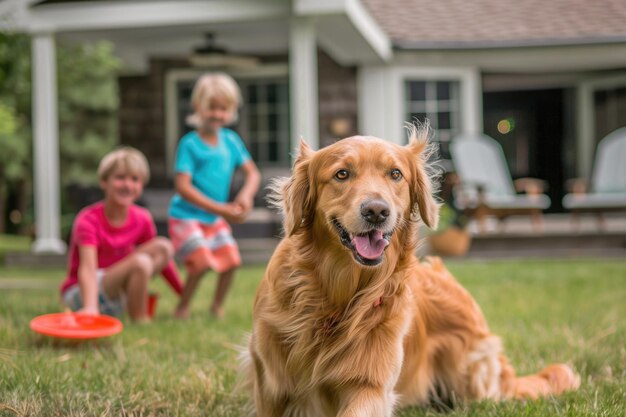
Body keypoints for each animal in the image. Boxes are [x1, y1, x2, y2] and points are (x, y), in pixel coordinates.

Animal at [240, 127, 580, 416]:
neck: (336, 297)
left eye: (395, 174)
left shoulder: (371, 387)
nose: (376, 211)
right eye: (341, 174)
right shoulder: (271, 384)